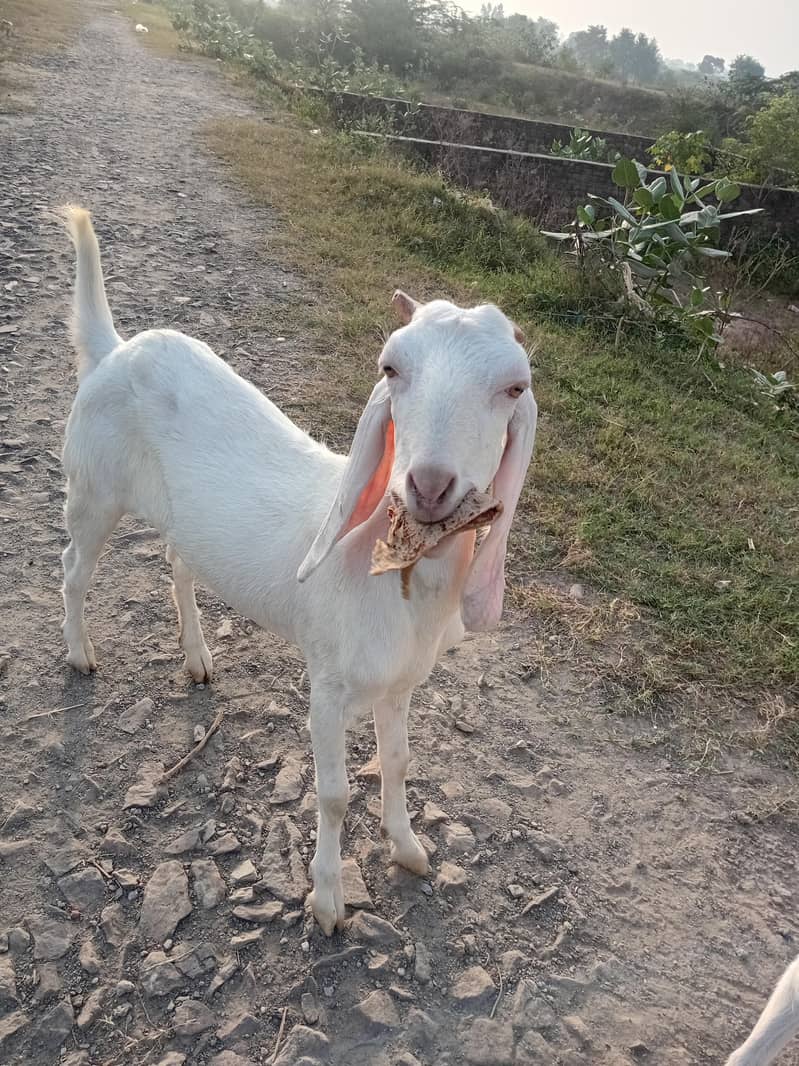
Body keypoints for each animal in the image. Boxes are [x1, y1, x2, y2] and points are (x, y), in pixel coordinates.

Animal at [58, 206, 537, 934]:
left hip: (180, 520)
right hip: (93, 488)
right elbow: (334, 794)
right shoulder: (328, 685)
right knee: (73, 567)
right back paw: (81, 653)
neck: (392, 575)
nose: (428, 486)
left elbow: (398, 761)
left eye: (514, 387)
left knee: (177, 563)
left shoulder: (400, 682)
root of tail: (113, 351)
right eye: (390, 368)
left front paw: (407, 848)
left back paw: (197, 658)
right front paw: (328, 900)